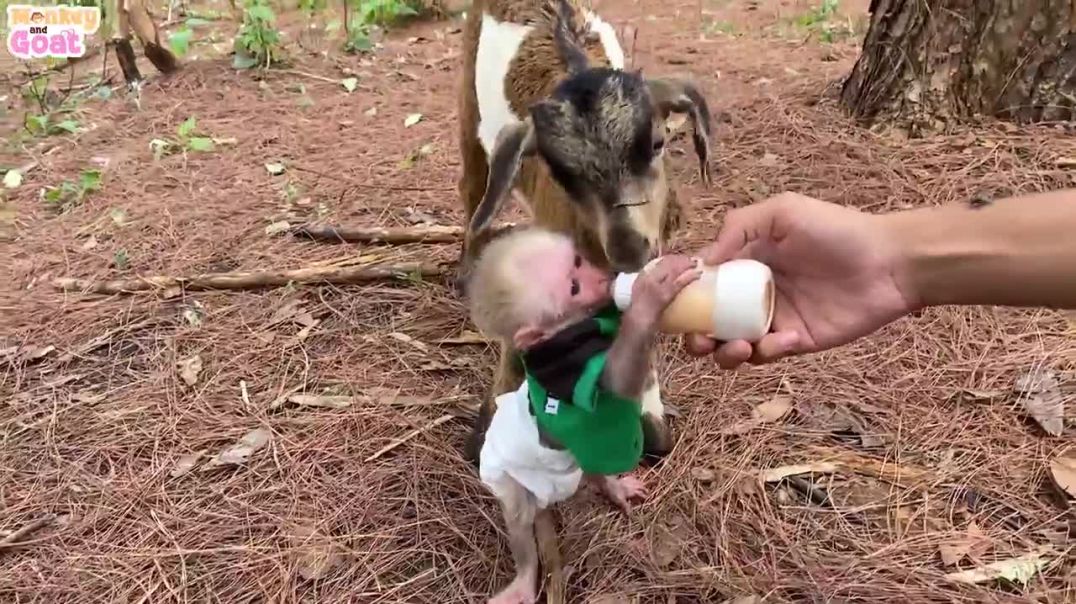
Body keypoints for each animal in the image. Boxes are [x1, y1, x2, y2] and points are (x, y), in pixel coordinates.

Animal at [467, 226, 700, 604]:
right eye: (573, 288)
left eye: (577, 261)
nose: (603, 277)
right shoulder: (564, 360)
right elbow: (617, 379)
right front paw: (653, 292)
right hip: (507, 474)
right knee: (519, 519)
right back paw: (525, 577)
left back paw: (613, 488)